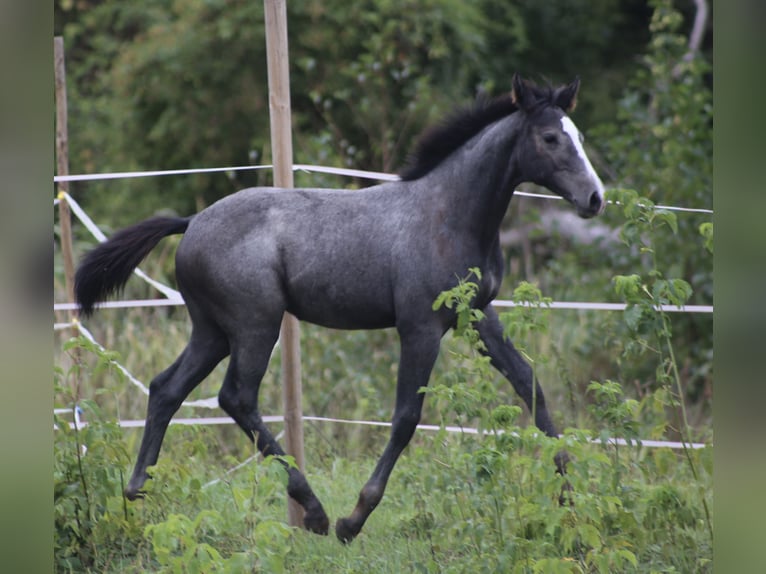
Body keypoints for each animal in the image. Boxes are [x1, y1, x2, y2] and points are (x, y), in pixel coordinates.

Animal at [76, 74, 608, 544]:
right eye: (549, 137)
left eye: (579, 135)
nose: (595, 198)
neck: (448, 215)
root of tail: (191, 222)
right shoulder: (420, 327)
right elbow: (406, 418)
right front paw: (355, 520)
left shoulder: (477, 317)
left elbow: (530, 386)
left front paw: (571, 499)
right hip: (255, 325)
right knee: (236, 397)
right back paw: (314, 513)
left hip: (212, 330)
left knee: (166, 388)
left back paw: (137, 490)